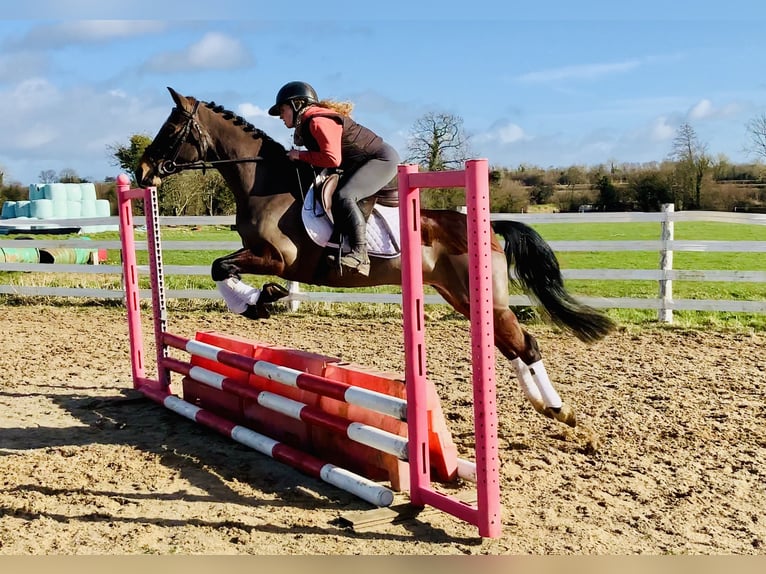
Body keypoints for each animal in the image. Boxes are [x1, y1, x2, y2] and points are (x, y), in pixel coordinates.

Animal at [136, 88, 616, 430]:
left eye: (172, 128)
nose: (141, 172)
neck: (264, 184)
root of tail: (486, 225)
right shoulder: (266, 257)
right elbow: (220, 266)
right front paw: (260, 301)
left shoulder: (278, 259)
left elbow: (221, 266)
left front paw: (257, 301)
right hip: (464, 299)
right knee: (512, 347)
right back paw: (549, 408)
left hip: (485, 300)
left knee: (526, 345)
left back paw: (560, 410)